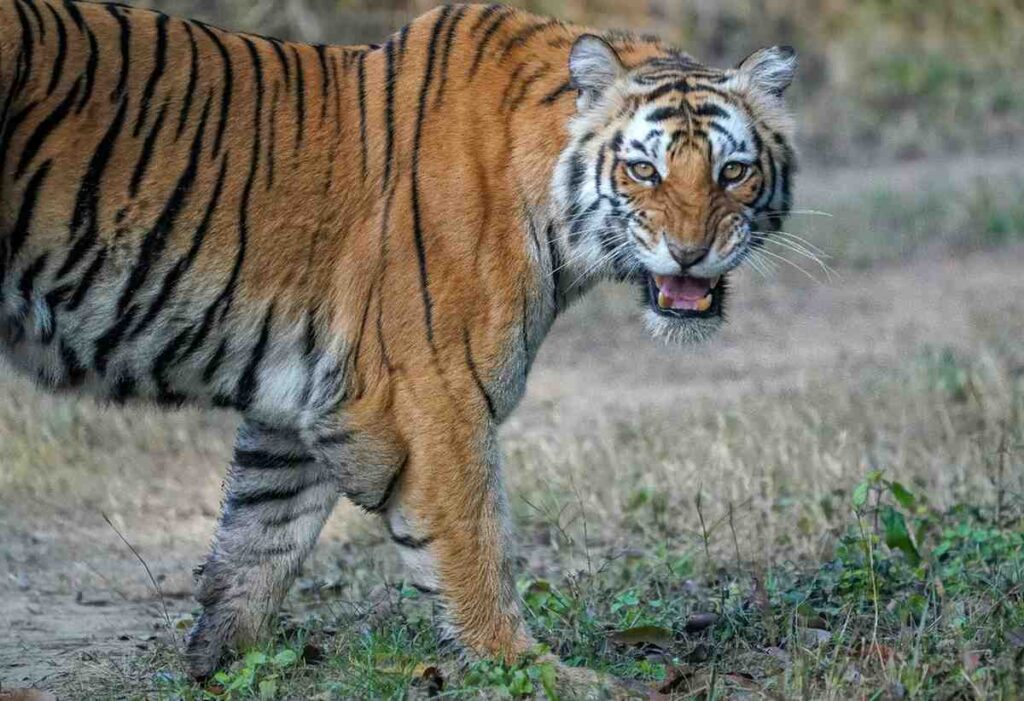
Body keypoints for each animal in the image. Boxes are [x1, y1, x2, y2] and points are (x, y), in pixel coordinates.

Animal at [0, 0, 796, 682]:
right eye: (643, 170)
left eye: (733, 170)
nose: (690, 253)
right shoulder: (432, 392)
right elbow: (473, 541)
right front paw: (530, 669)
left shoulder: (309, 395)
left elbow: (261, 531)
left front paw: (219, 664)